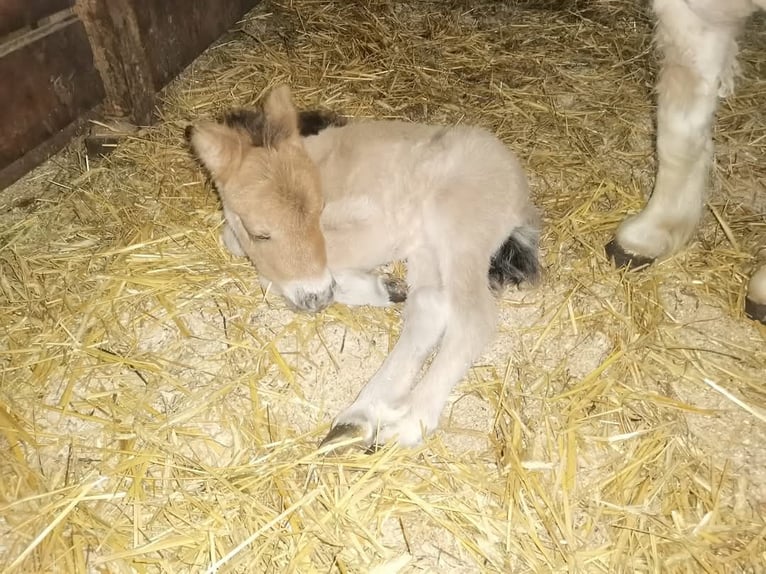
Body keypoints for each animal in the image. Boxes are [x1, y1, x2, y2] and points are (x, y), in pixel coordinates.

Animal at [188, 88, 540, 452]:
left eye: (318, 209)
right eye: (261, 232)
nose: (318, 299)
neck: (322, 164)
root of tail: (519, 191)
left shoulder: (381, 227)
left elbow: (268, 261)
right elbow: (238, 243)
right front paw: (379, 288)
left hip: (460, 227)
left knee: (474, 317)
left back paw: (410, 420)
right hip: (429, 246)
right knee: (430, 306)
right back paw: (360, 416)